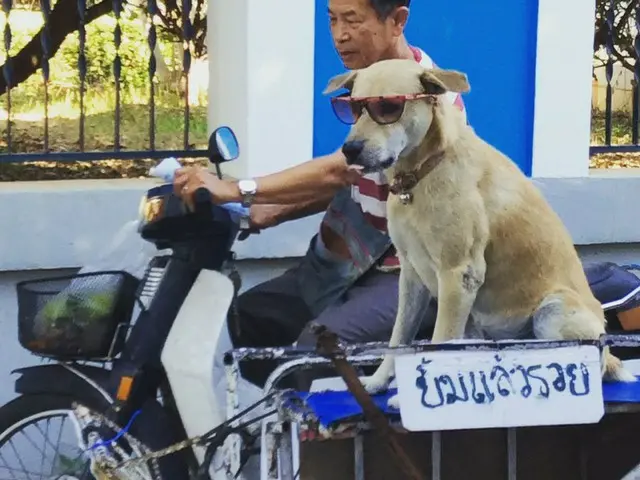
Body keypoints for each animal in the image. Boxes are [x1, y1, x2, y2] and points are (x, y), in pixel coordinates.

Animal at [324, 58, 636, 406]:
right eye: (352, 107)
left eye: (388, 107)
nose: (350, 149)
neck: (423, 171)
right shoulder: (411, 276)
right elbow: (398, 338)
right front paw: (379, 381)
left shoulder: (458, 275)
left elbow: (439, 340)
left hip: (550, 313)